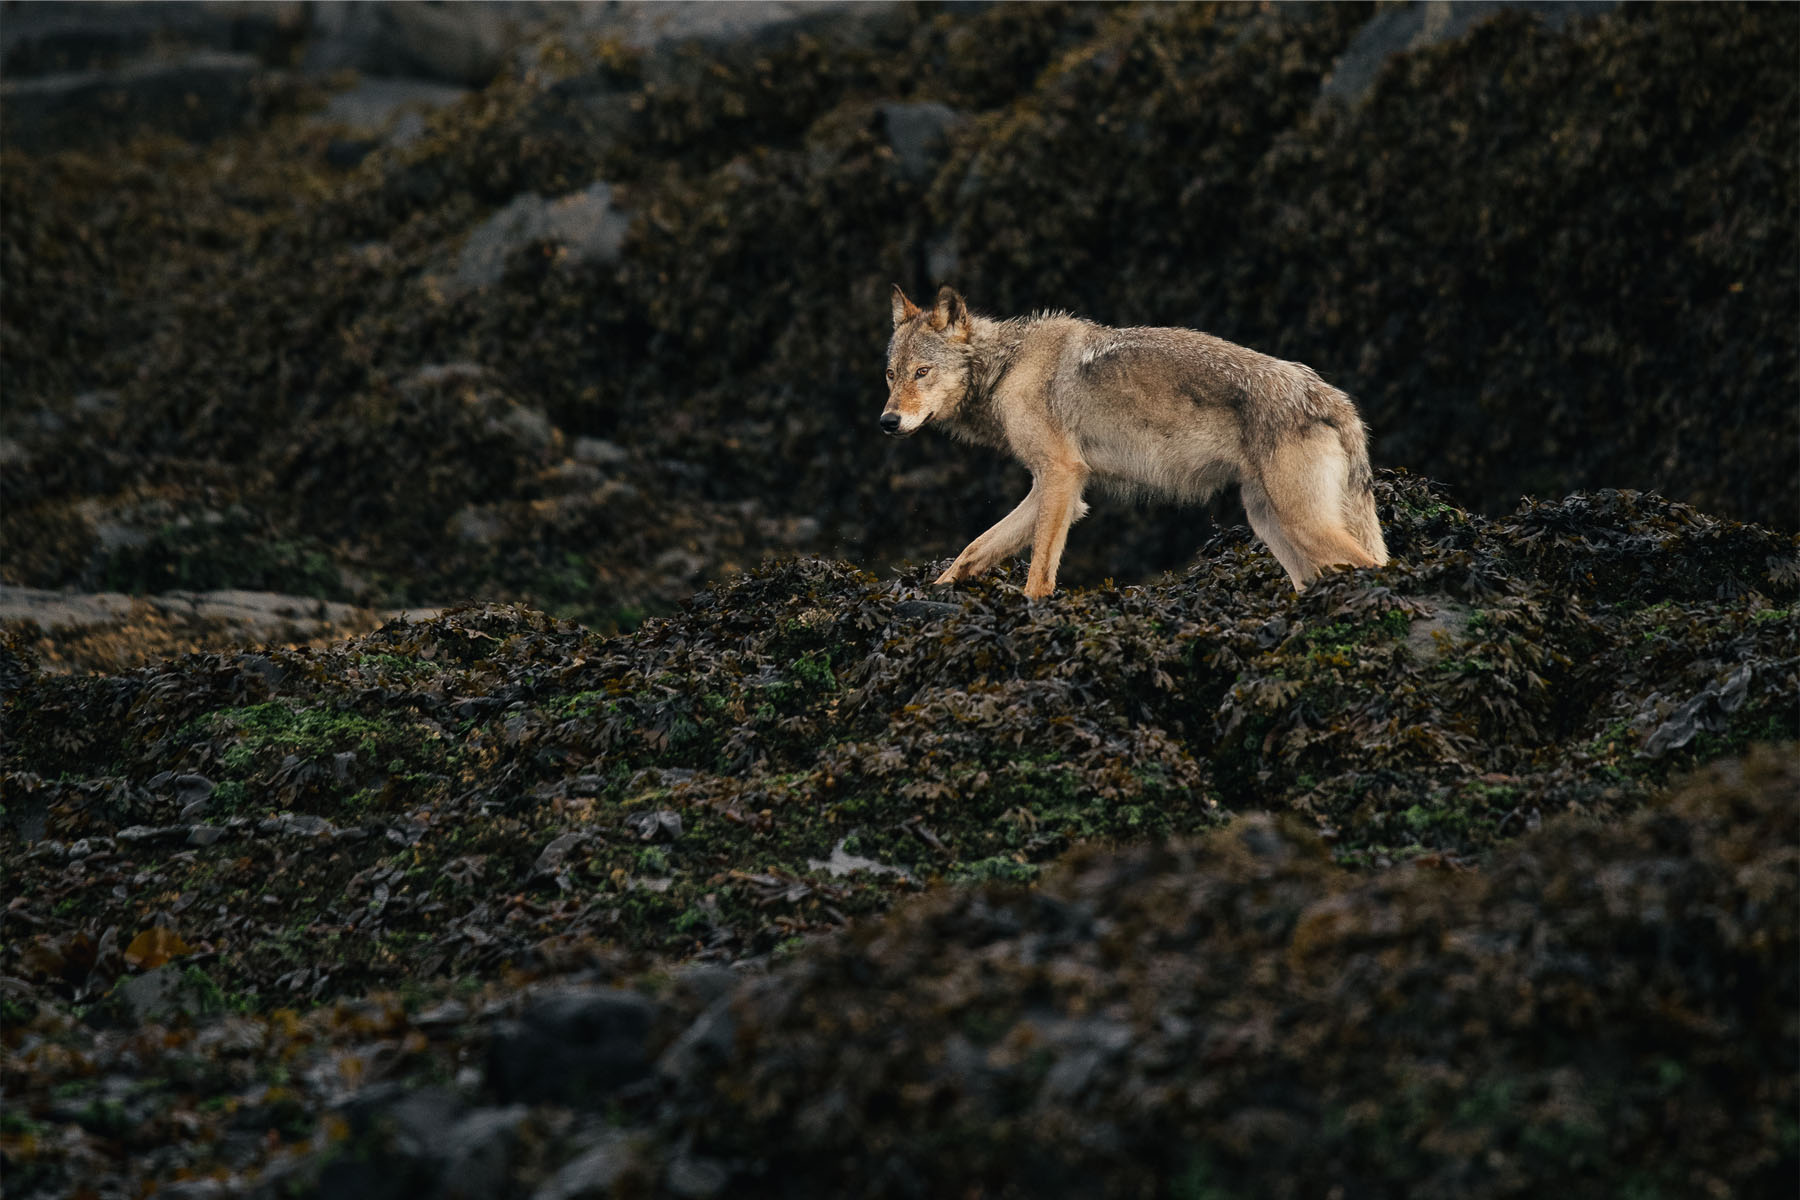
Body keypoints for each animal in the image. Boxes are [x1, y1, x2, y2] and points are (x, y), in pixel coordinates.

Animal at [881, 285, 1388, 598]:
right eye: (890, 374)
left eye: (922, 373)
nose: (888, 421)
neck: (1008, 365)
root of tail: (1329, 395)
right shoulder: (1056, 488)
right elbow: (971, 551)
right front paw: (932, 594)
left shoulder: (1061, 477)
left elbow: (1038, 576)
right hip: (1273, 526)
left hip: (1304, 524)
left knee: (1377, 566)